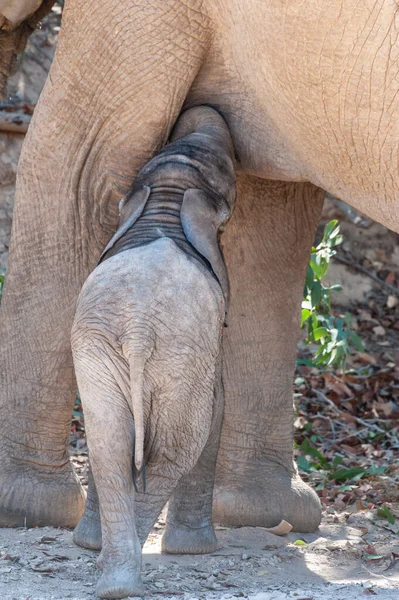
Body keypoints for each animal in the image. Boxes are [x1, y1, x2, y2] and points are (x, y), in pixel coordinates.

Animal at [70, 105, 236, 596]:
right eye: (229, 176)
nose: (203, 109)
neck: (169, 193)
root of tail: (140, 328)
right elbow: (219, 408)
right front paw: (195, 553)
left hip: (101, 349)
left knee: (109, 441)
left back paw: (110, 577)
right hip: (180, 356)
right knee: (174, 450)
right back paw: (122, 577)